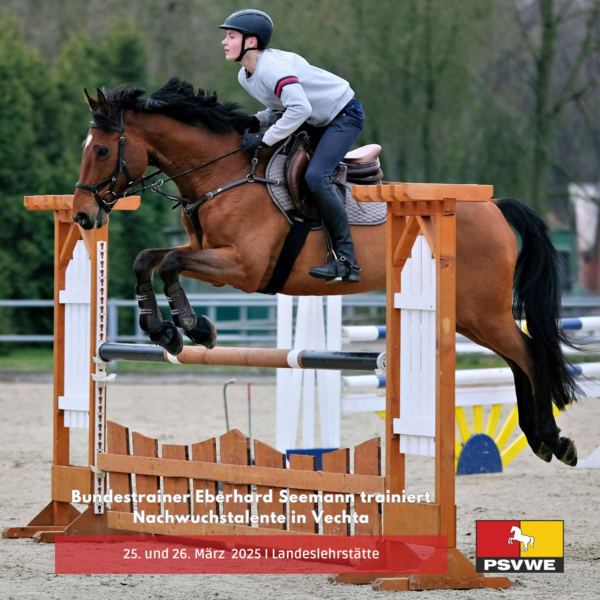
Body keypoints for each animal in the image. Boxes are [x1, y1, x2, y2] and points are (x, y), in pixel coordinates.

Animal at [71, 78, 580, 468]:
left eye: (102, 150)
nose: (81, 216)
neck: (227, 174)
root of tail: (493, 206)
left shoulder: (241, 268)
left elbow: (171, 264)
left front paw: (192, 328)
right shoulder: (208, 253)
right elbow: (149, 259)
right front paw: (164, 328)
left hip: (480, 310)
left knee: (529, 352)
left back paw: (554, 440)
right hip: (472, 314)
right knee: (517, 357)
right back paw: (540, 438)